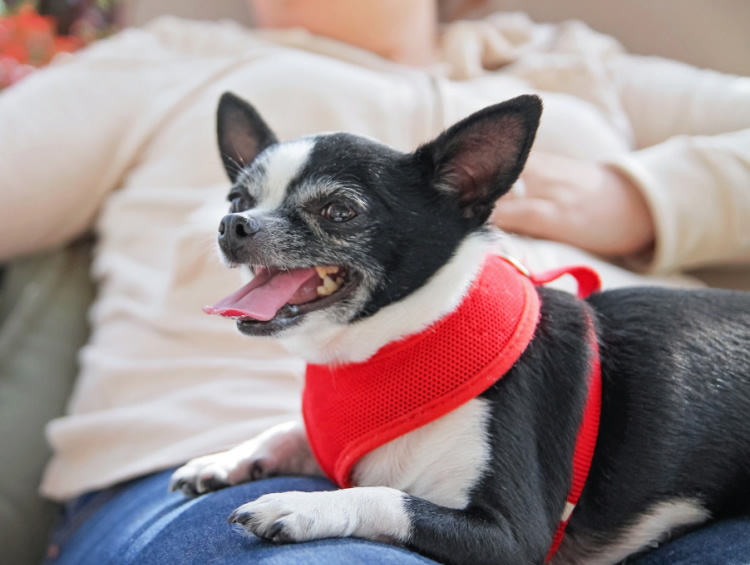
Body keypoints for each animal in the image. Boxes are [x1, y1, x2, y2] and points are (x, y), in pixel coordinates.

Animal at [170, 92, 750, 564]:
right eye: (238, 200)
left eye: (338, 211)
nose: (232, 225)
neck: (398, 347)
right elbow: (289, 429)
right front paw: (230, 457)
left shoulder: (511, 537)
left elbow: (389, 497)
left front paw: (300, 503)